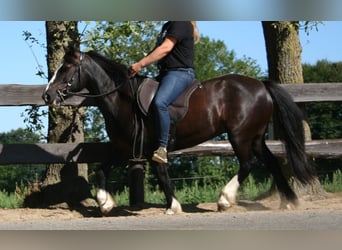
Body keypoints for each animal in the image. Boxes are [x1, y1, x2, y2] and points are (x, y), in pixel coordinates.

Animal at [42, 47, 316, 215]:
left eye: (66, 68)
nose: (47, 95)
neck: (123, 99)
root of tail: (261, 85)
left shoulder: (150, 147)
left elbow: (162, 174)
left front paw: (173, 206)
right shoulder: (125, 148)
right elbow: (102, 169)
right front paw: (105, 203)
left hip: (240, 136)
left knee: (248, 163)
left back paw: (225, 199)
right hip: (256, 137)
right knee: (271, 162)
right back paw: (289, 201)